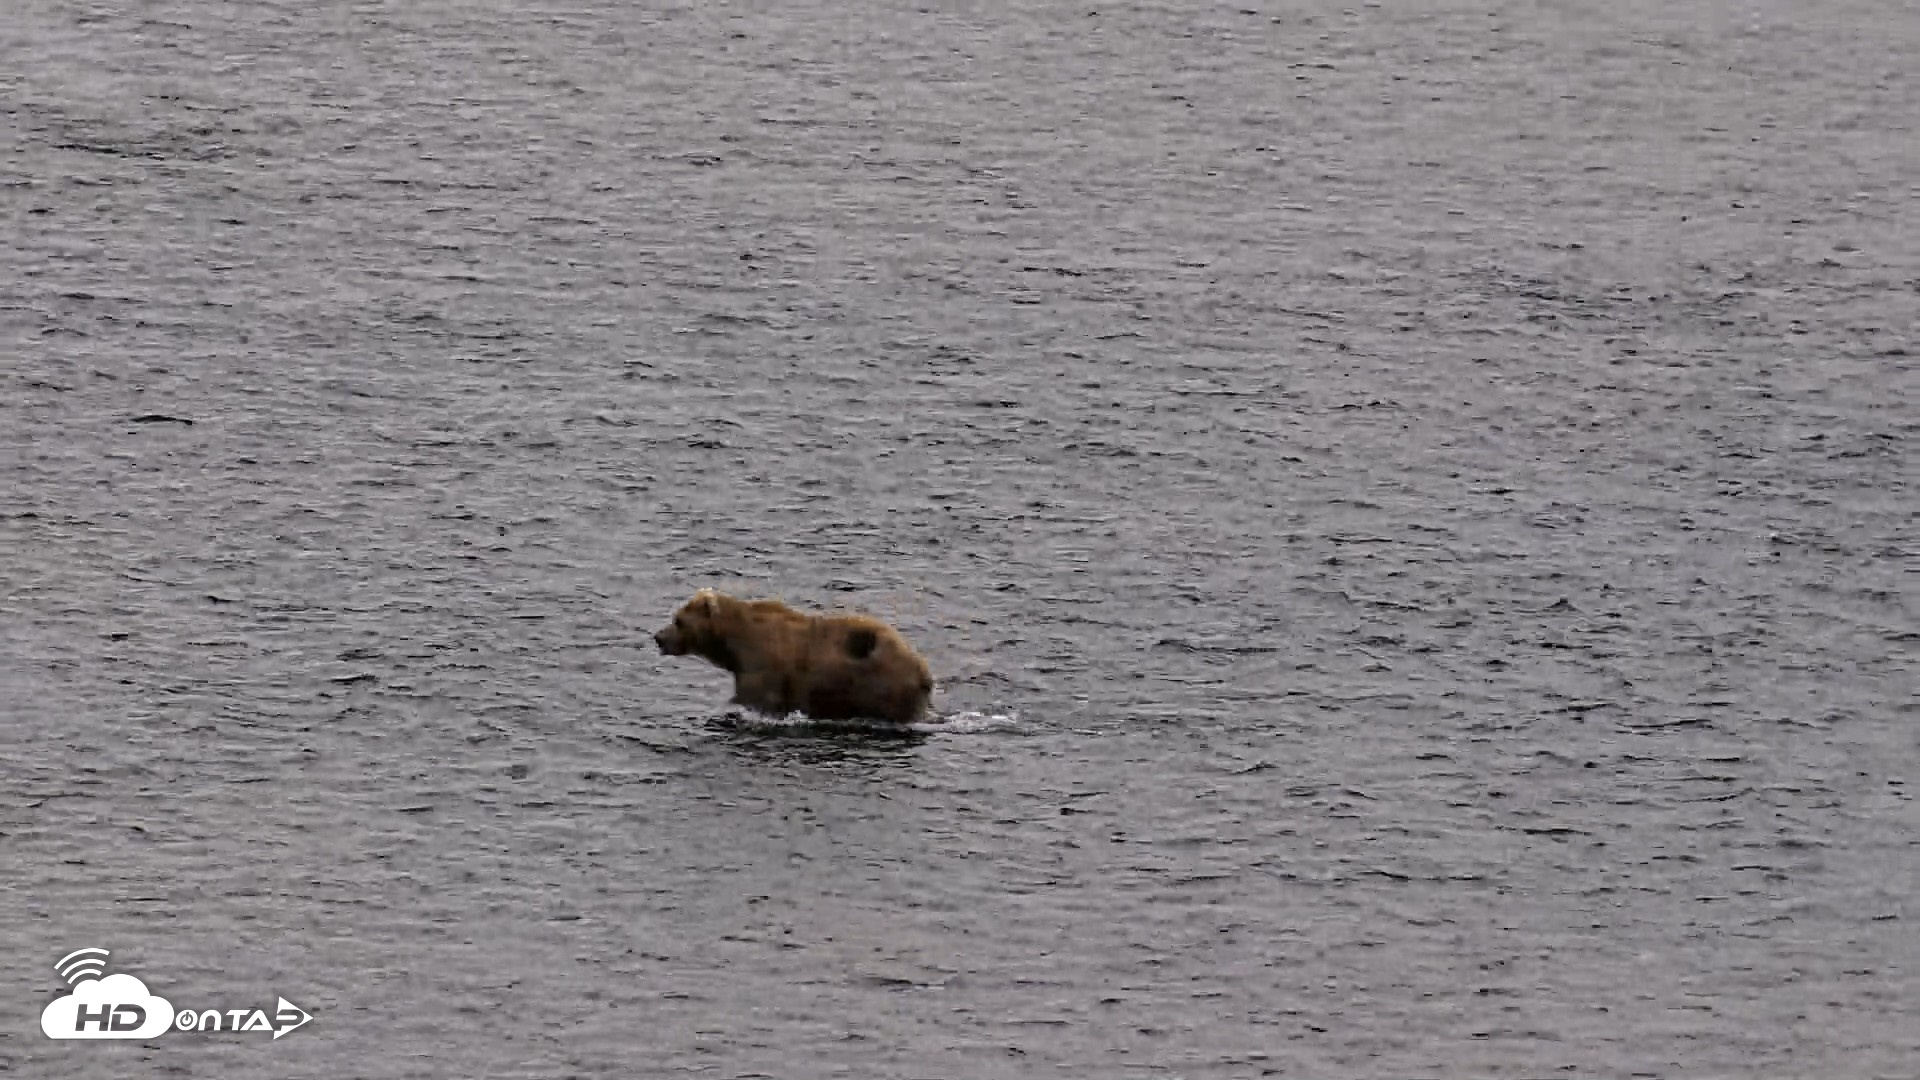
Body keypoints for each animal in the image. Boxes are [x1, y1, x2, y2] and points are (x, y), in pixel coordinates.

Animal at [653, 588, 934, 725]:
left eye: (678, 620)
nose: (658, 637)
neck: (735, 644)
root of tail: (923, 669)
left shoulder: (764, 670)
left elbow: (756, 701)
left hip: (882, 684)